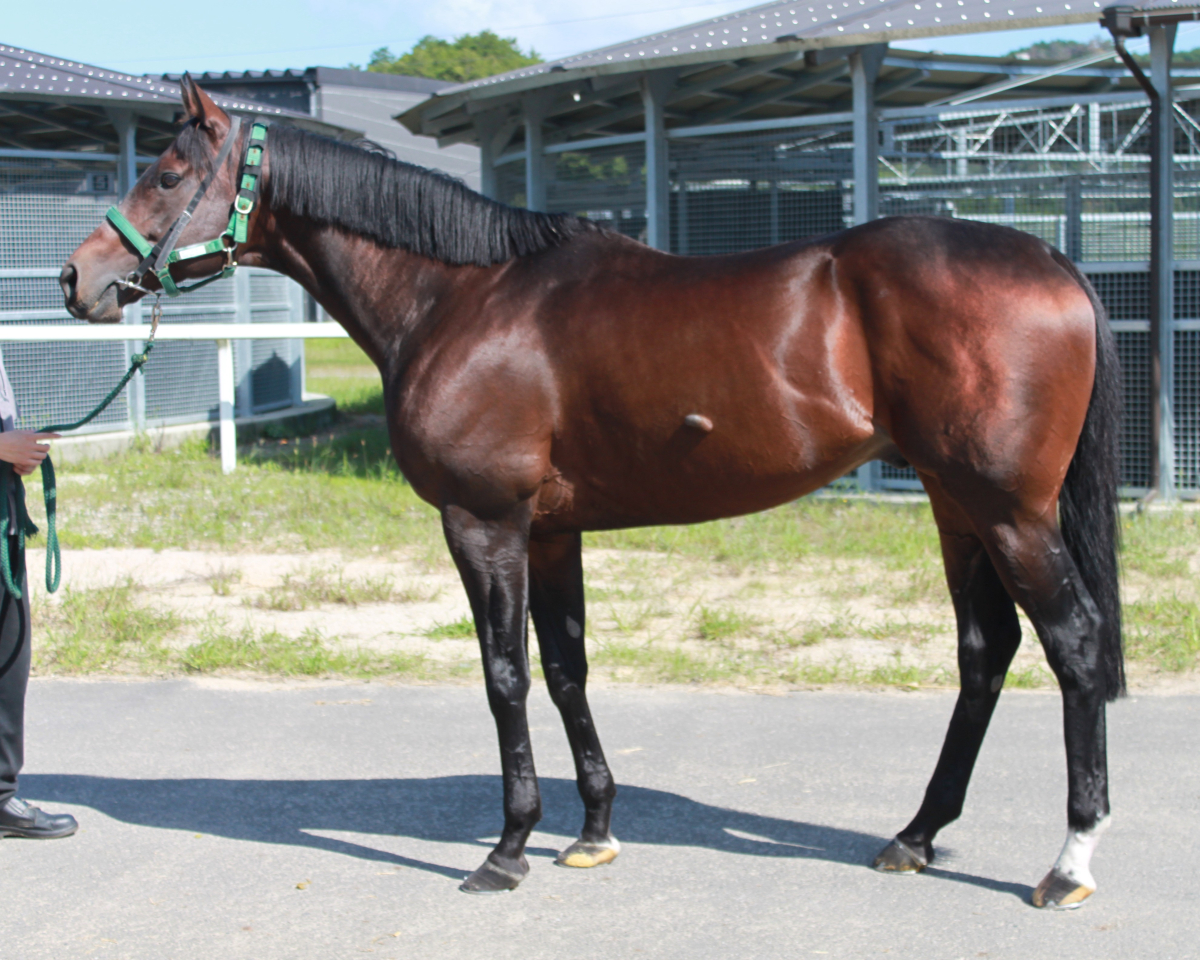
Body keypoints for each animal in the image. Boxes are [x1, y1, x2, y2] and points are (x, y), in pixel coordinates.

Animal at [60, 76, 1123, 907]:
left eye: (166, 175)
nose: (78, 279)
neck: (461, 296)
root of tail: (1053, 260)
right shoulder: (548, 532)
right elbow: (567, 668)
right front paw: (593, 830)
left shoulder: (482, 523)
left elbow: (505, 677)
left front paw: (508, 848)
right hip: (955, 506)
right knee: (986, 653)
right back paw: (915, 834)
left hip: (1007, 511)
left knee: (1073, 646)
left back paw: (1069, 862)